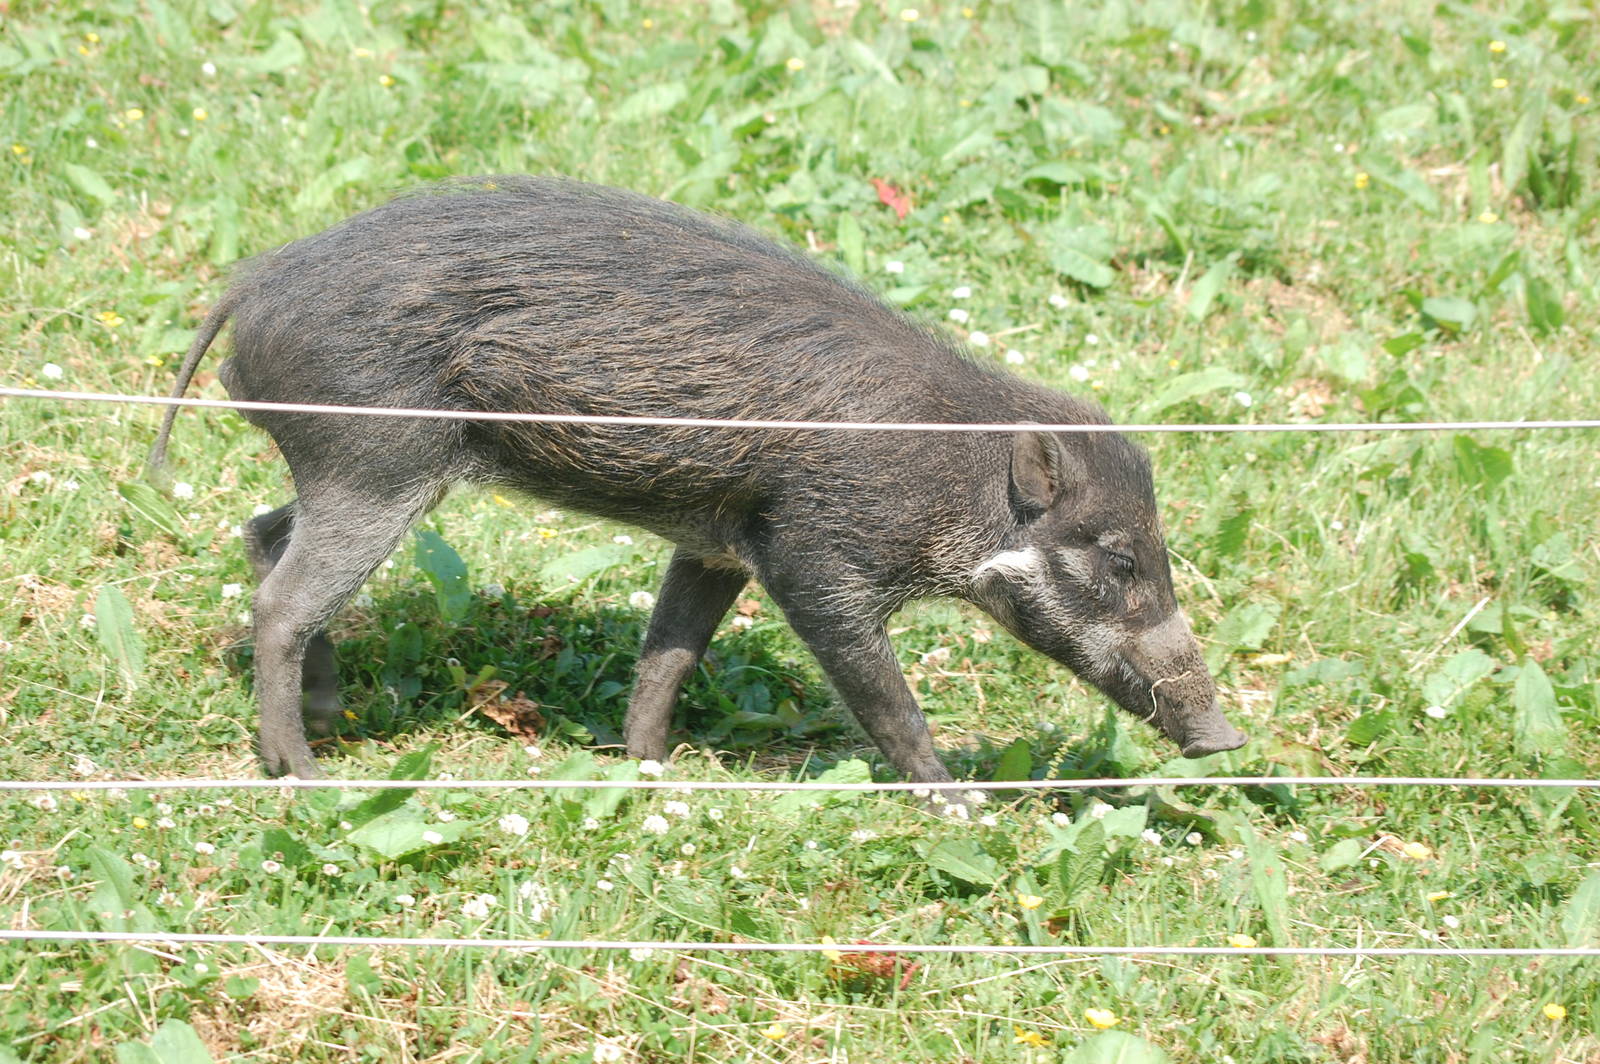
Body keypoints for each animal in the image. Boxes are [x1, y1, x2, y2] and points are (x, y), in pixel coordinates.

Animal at [147, 176, 1245, 782]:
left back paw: (330, 717)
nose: (1228, 739)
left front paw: (646, 768)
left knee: (260, 530)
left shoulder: (718, 540)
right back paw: (302, 769)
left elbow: (668, 655)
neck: (956, 481)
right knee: (283, 600)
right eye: (1116, 556)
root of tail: (252, 282)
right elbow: (882, 696)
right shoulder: (815, 557)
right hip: (376, 463)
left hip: (346, 469)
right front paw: (958, 798)